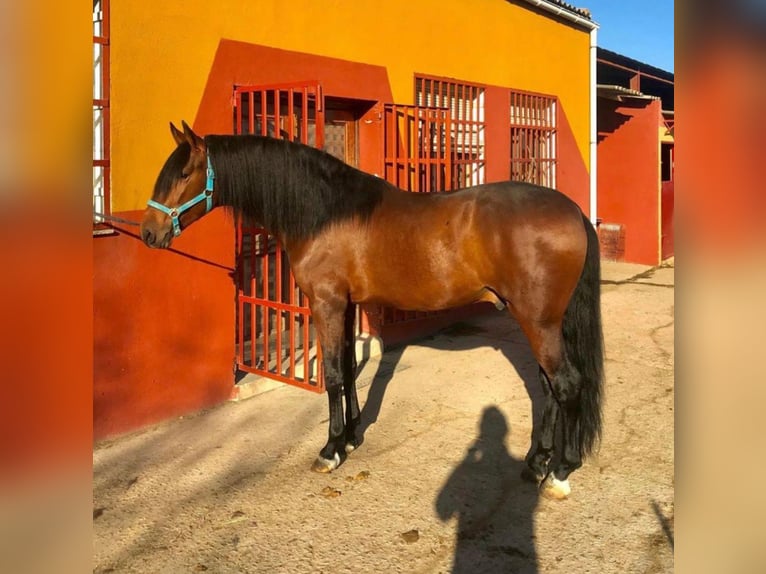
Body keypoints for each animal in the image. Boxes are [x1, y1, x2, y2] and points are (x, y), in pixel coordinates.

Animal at [140, 120, 608, 500]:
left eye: (184, 173)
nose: (148, 232)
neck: (326, 212)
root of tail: (572, 211)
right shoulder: (345, 306)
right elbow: (348, 369)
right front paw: (350, 437)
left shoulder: (326, 304)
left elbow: (331, 375)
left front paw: (330, 450)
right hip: (541, 320)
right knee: (547, 385)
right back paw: (536, 463)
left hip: (538, 320)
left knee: (565, 384)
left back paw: (560, 473)